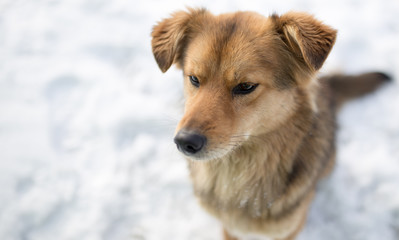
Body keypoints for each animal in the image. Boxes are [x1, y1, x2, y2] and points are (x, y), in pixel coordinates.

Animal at [151, 8, 390, 239]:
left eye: (245, 86)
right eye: (194, 79)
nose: (185, 141)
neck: (238, 173)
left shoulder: (289, 229)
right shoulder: (229, 228)